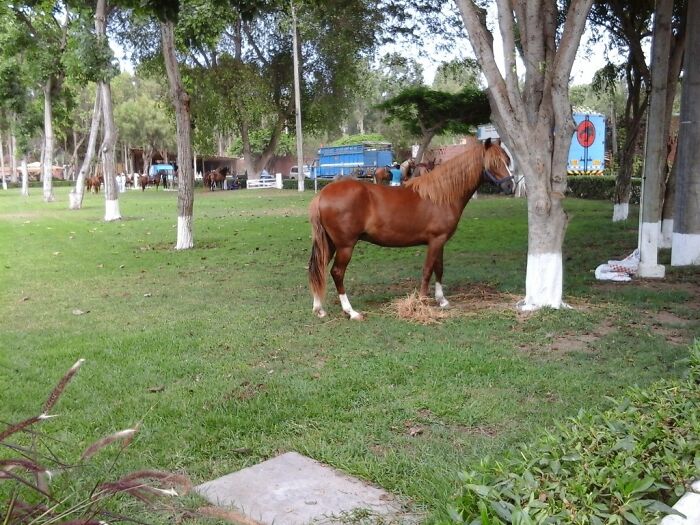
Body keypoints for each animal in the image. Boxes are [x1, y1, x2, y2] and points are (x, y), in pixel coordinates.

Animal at [308, 137, 512, 320]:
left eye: (507, 160)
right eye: (494, 162)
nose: (510, 185)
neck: (441, 195)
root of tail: (323, 194)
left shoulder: (440, 241)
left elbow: (439, 268)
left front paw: (442, 300)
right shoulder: (436, 240)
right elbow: (428, 270)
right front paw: (422, 301)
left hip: (330, 243)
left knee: (318, 267)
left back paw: (319, 309)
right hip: (345, 246)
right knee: (337, 273)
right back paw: (351, 312)